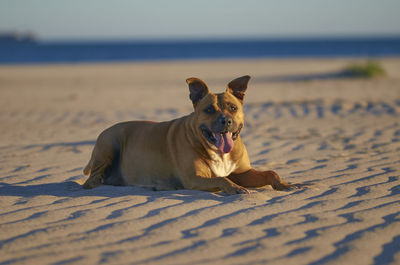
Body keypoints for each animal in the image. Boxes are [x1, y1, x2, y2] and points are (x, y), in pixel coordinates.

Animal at [83, 75, 296, 193]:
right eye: (209, 110)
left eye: (233, 108)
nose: (226, 121)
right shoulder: (194, 177)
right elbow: (221, 179)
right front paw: (235, 189)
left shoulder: (242, 172)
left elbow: (271, 172)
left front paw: (285, 184)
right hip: (109, 143)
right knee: (92, 180)